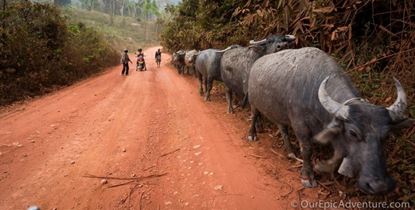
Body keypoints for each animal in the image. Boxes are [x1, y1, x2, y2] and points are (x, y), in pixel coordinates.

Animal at [249, 47, 414, 194]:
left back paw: (290, 151)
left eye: (386, 135)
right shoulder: (300, 125)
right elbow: (307, 149)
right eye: (353, 133)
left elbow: (339, 154)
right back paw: (252, 134)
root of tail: (256, 64)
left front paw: (322, 166)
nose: (379, 186)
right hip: (253, 102)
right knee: (254, 115)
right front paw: (308, 176)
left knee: (282, 128)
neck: (313, 92)